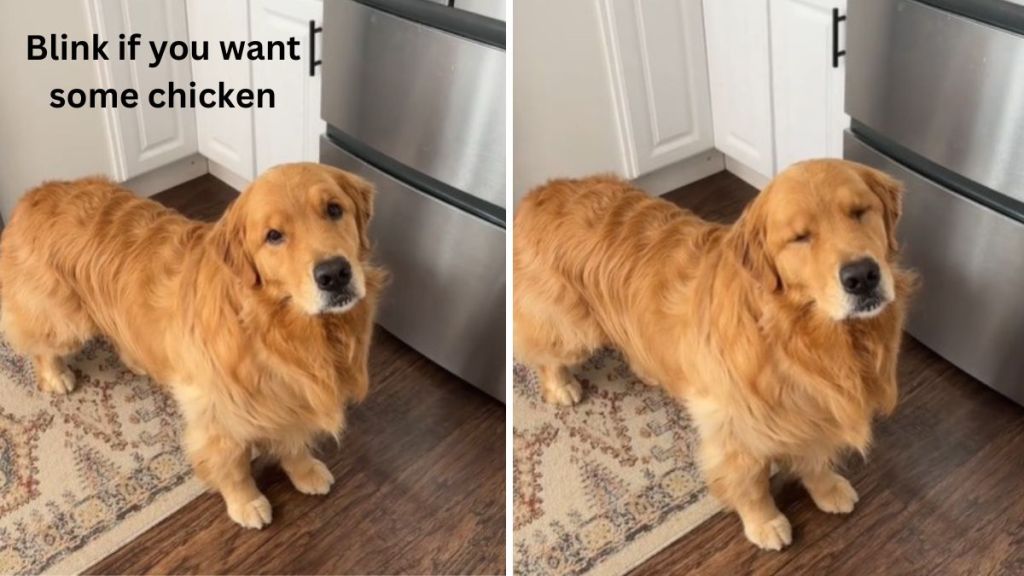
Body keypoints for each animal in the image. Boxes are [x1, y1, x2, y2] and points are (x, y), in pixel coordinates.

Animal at [1, 159, 385, 524]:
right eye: (274, 236)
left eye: (334, 209)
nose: (334, 274)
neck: (277, 327)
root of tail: (36, 194)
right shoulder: (218, 413)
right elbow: (232, 465)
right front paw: (246, 503)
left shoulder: (290, 395)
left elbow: (293, 441)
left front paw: (305, 471)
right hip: (64, 321)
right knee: (39, 344)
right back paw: (56, 376)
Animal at [516, 157, 917, 545]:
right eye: (800, 238)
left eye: (859, 212)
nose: (862, 276)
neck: (797, 334)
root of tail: (541, 192)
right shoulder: (735, 428)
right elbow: (751, 483)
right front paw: (764, 523)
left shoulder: (811, 407)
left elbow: (814, 457)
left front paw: (827, 488)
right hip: (570, 328)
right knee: (541, 352)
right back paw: (561, 386)